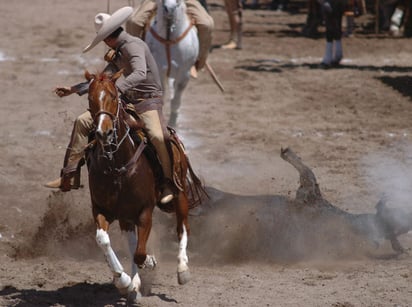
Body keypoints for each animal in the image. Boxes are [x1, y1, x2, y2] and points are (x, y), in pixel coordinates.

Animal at [85, 69, 204, 304]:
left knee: (182, 228)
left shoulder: (144, 212)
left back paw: (182, 270)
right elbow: (104, 240)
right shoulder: (102, 210)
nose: (104, 132)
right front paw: (124, 282)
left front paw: (149, 263)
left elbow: (140, 252)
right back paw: (134, 286)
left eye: (113, 96)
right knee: (133, 242)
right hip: (125, 216)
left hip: (179, 195)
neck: (116, 166)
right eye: (89, 99)